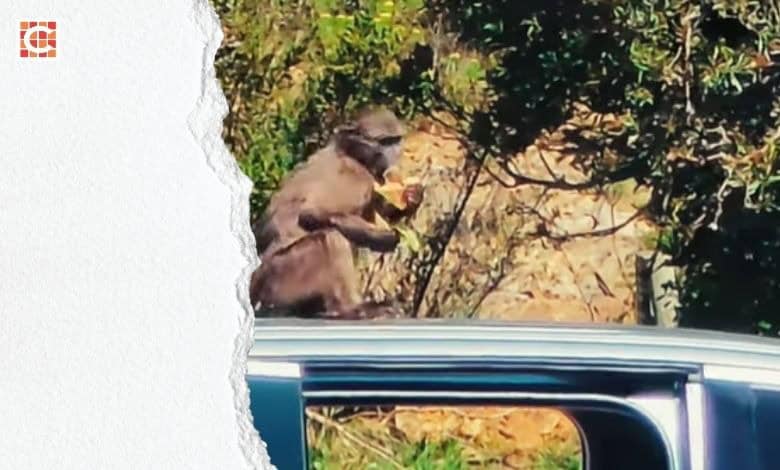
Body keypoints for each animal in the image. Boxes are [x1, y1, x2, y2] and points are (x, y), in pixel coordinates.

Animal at [249, 107, 424, 320]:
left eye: (396, 140)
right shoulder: (355, 177)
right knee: (329, 237)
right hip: (275, 282)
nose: (395, 155)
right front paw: (383, 237)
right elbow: (312, 213)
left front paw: (413, 196)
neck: (350, 152)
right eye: (384, 142)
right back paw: (349, 308)